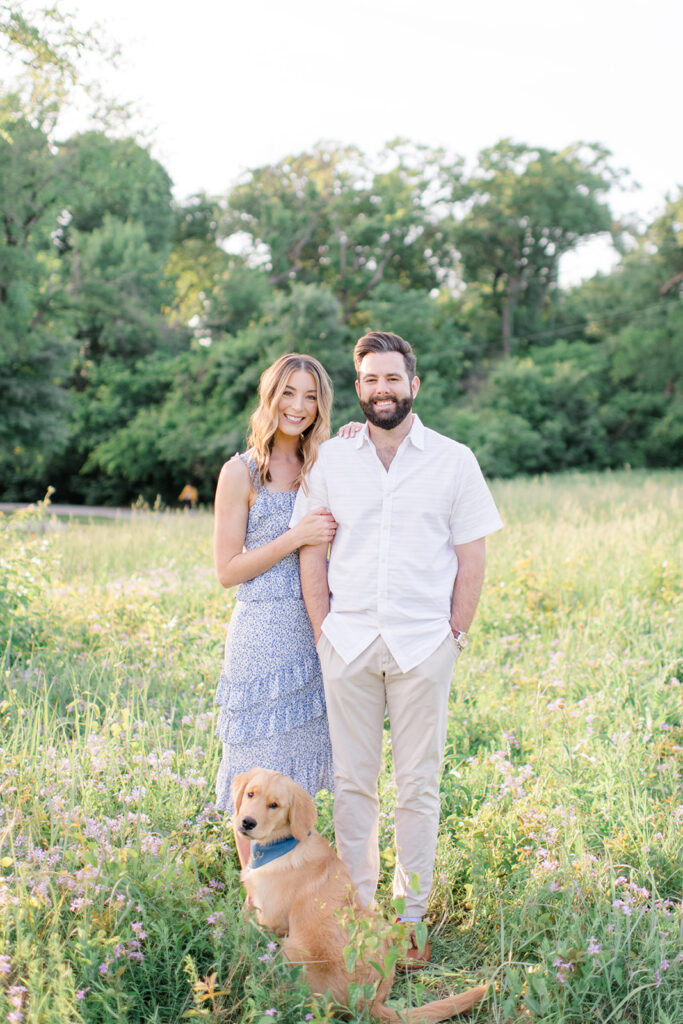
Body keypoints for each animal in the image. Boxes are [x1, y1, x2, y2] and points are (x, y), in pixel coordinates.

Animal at [232, 770, 489, 1024]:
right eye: (250, 794)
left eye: (274, 805)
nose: (247, 822)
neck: (282, 845)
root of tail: (370, 1003)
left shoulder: (269, 919)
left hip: (291, 949)